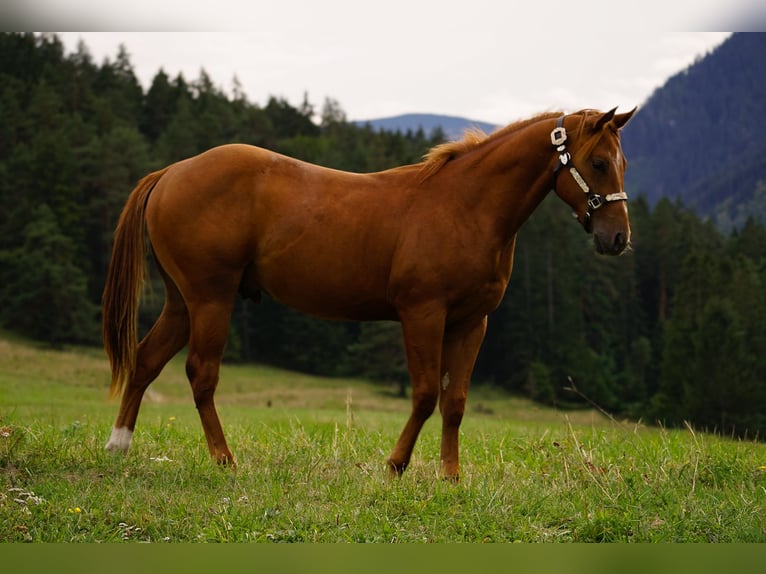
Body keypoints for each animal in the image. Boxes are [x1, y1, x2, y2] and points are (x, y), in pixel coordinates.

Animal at [102, 107, 636, 480]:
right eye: (598, 161)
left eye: (622, 163)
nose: (618, 237)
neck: (465, 206)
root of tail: (171, 172)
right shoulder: (423, 313)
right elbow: (425, 394)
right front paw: (396, 465)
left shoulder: (471, 323)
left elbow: (456, 401)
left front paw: (451, 476)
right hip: (210, 298)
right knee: (201, 374)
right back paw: (224, 458)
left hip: (182, 302)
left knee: (146, 360)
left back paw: (119, 444)